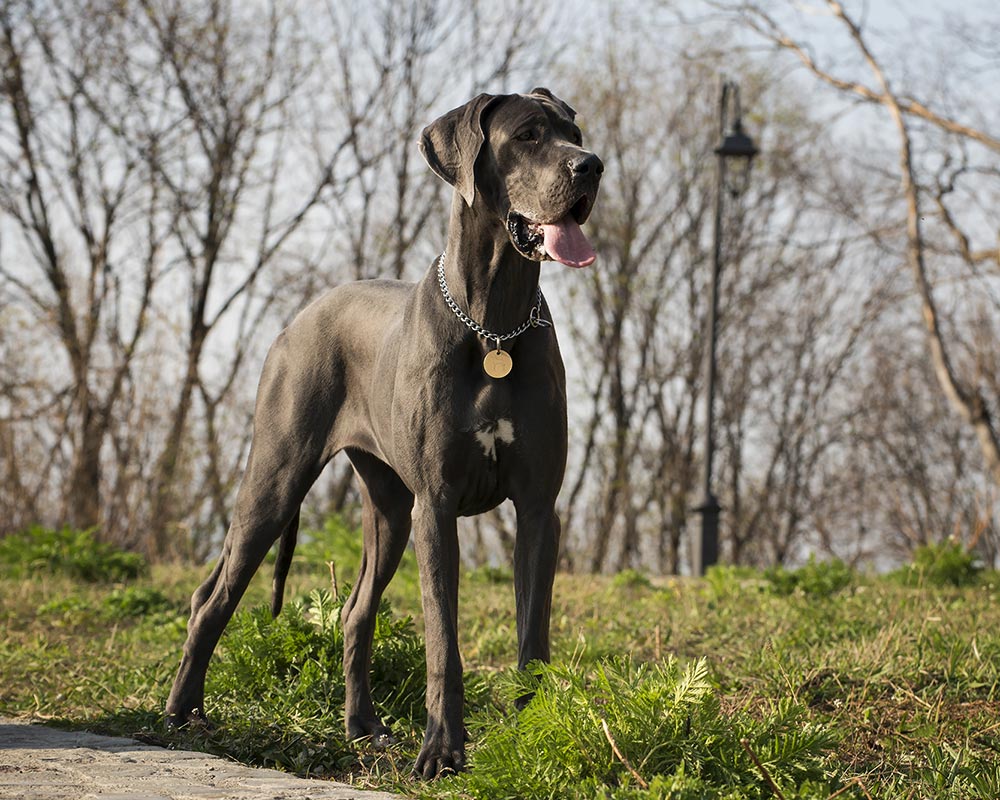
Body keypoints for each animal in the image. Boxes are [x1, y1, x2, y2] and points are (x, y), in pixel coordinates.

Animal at [167, 89, 600, 780]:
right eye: (529, 136)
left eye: (574, 133)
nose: (591, 167)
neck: (494, 324)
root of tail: (298, 317)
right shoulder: (438, 507)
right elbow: (443, 640)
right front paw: (443, 751)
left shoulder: (539, 509)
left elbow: (533, 635)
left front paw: (535, 733)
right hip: (277, 480)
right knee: (213, 598)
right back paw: (183, 715)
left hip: (390, 510)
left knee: (353, 613)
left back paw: (364, 729)